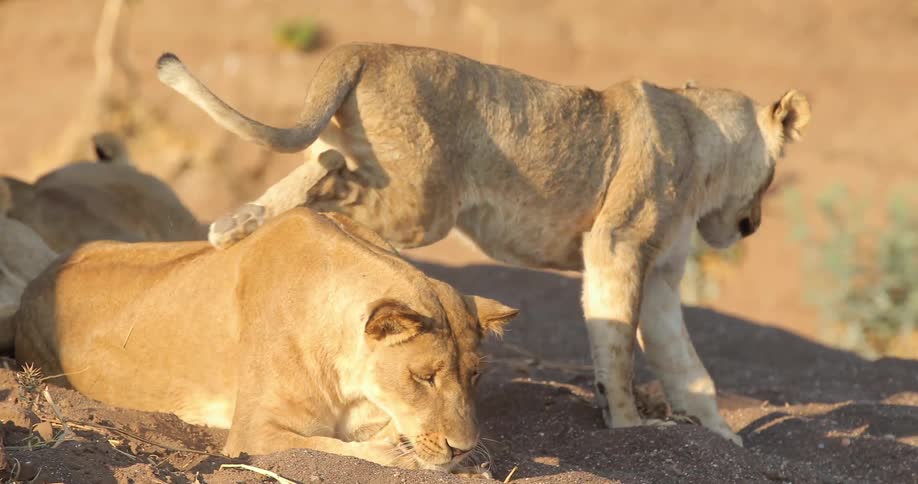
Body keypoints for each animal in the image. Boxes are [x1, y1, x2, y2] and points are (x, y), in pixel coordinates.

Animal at [13, 207, 518, 475]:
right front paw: (403, 454)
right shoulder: (252, 432)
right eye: (424, 377)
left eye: (475, 376)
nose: (464, 448)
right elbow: (323, 447)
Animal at [156, 43, 811, 446]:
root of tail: (365, 48)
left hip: (387, 182)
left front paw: (720, 436)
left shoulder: (665, 276)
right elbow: (618, 346)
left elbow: (686, 363)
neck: (702, 140)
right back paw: (255, 227)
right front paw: (629, 426)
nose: (752, 225)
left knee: (320, 161)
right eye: (771, 180)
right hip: (420, 207)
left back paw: (232, 226)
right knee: (330, 180)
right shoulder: (616, 245)